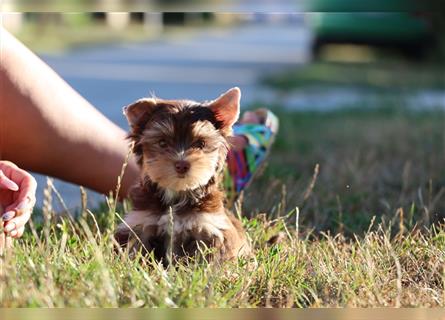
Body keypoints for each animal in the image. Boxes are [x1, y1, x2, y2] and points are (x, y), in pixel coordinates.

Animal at [115, 87, 250, 262]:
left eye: (201, 144)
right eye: (162, 143)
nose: (181, 164)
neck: (176, 193)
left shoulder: (209, 226)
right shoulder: (140, 223)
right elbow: (135, 249)